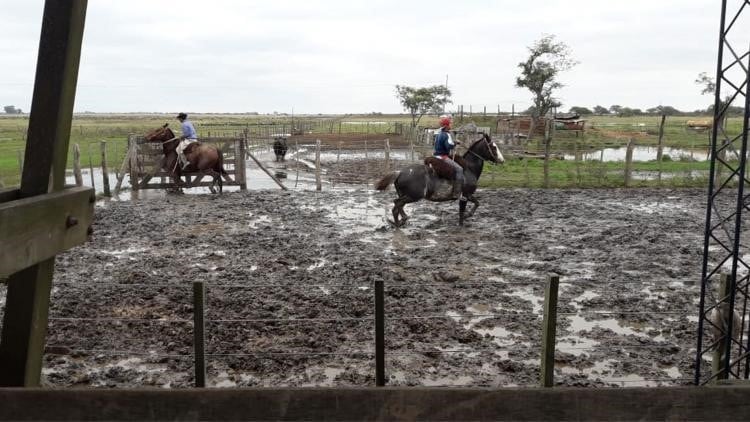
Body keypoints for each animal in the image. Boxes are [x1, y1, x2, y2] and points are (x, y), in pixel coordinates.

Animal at [374, 134, 506, 227]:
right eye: (494, 147)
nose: (502, 160)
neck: (468, 168)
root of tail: (400, 173)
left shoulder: (467, 196)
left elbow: (476, 204)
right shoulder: (466, 195)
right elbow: (469, 208)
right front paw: (464, 220)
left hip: (406, 195)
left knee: (397, 206)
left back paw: (398, 222)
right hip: (413, 196)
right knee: (397, 204)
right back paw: (402, 220)